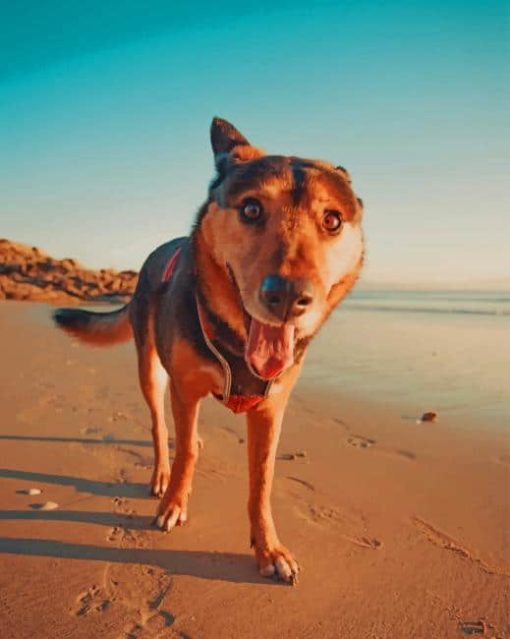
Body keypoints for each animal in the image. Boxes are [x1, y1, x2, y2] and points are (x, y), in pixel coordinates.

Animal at [53, 116, 364, 584]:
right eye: (251, 209)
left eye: (332, 220)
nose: (288, 297)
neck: (234, 339)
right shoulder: (185, 389)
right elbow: (183, 451)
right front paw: (174, 503)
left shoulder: (270, 409)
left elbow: (262, 481)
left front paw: (268, 547)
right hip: (151, 370)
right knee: (161, 429)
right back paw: (162, 474)